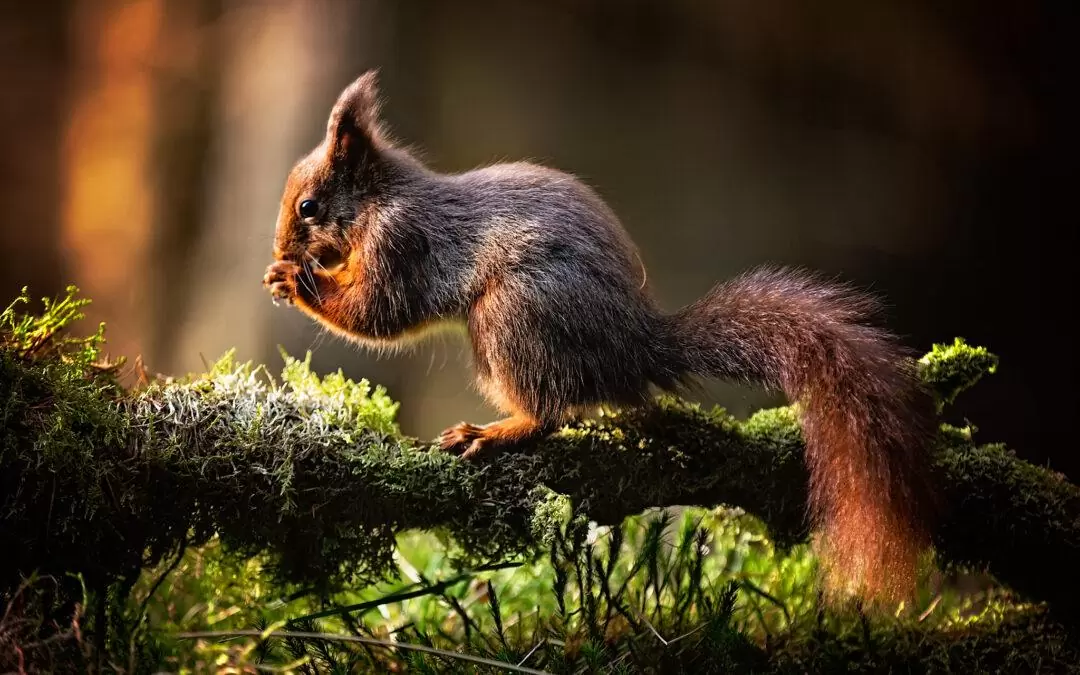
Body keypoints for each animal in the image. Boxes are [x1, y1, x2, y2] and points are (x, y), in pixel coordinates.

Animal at [263, 71, 937, 604]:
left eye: (309, 207)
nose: (280, 249)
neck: (380, 201)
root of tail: (634, 346)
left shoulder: (402, 244)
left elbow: (379, 312)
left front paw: (297, 280)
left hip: (511, 319)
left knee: (550, 412)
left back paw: (496, 431)